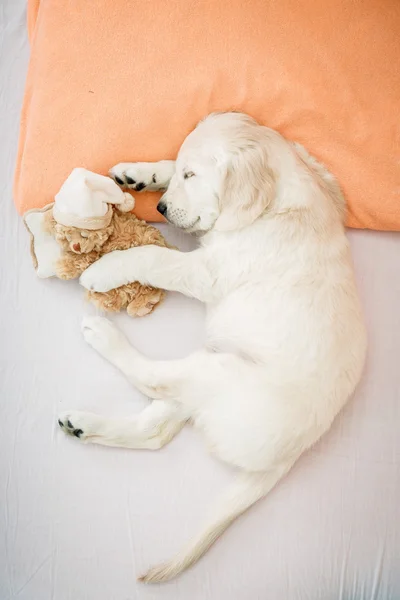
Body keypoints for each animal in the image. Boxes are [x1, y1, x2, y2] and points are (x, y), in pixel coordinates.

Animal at [57, 111, 368, 580]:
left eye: (194, 176)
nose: (161, 208)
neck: (277, 204)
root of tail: (290, 456)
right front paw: (141, 172)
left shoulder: (207, 272)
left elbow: (153, 257)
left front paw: (105, 268)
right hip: (210, 371)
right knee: (156, 430)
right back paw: (83, 425)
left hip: (219, 372)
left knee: (151, 379)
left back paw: (104, 336)